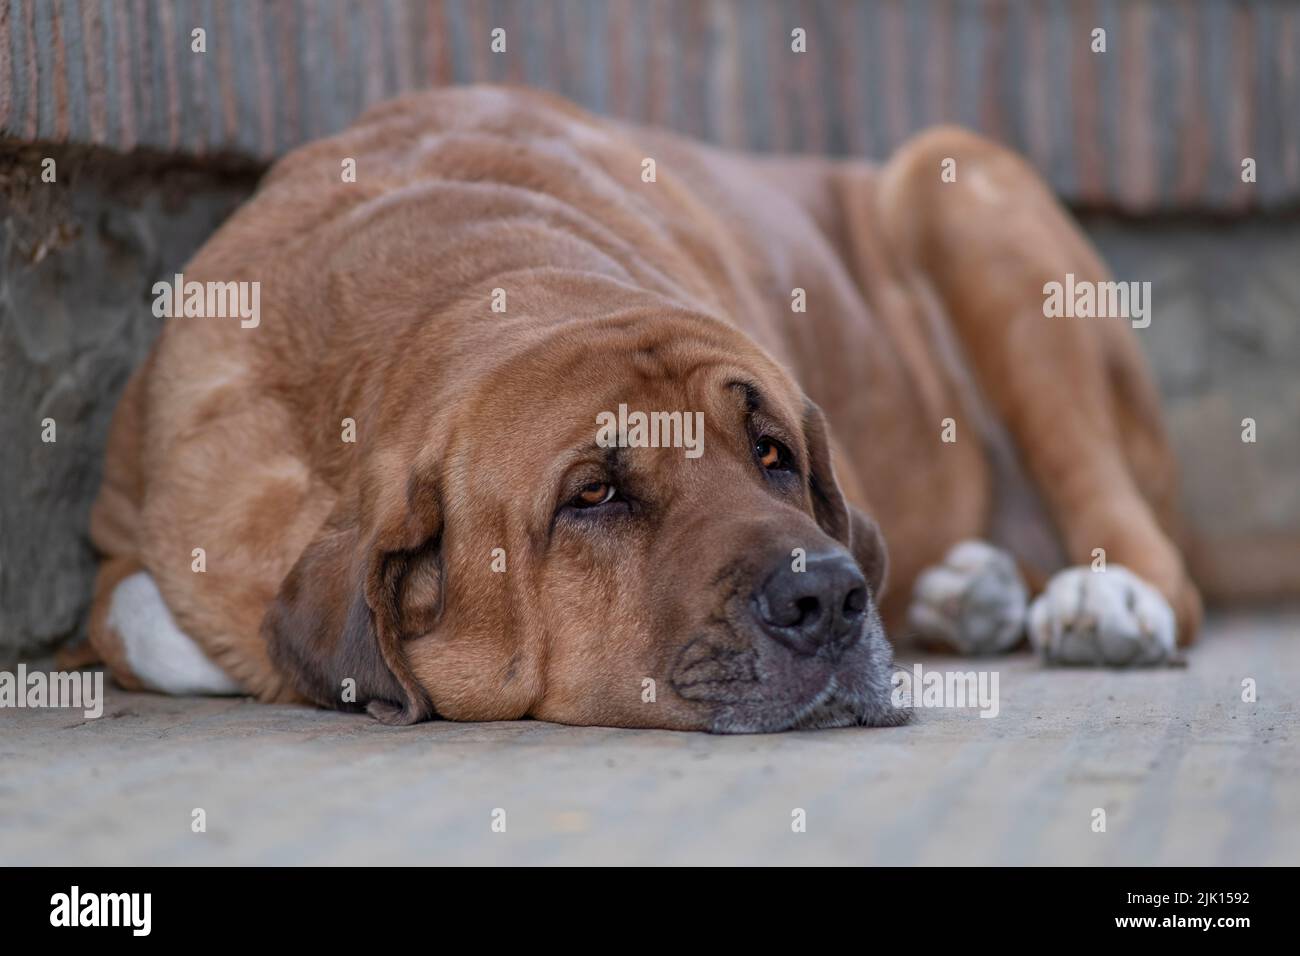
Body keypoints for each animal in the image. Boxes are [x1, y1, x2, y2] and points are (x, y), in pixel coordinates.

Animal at [78, 87, 1196, 733]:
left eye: (774, 454)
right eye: (592, 496)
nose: (828, 596)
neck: (473, 279)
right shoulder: (135, 535)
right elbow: (151, 619)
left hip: (954, 183)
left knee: (1153, 556)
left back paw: (1100, 598)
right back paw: (971, 591)